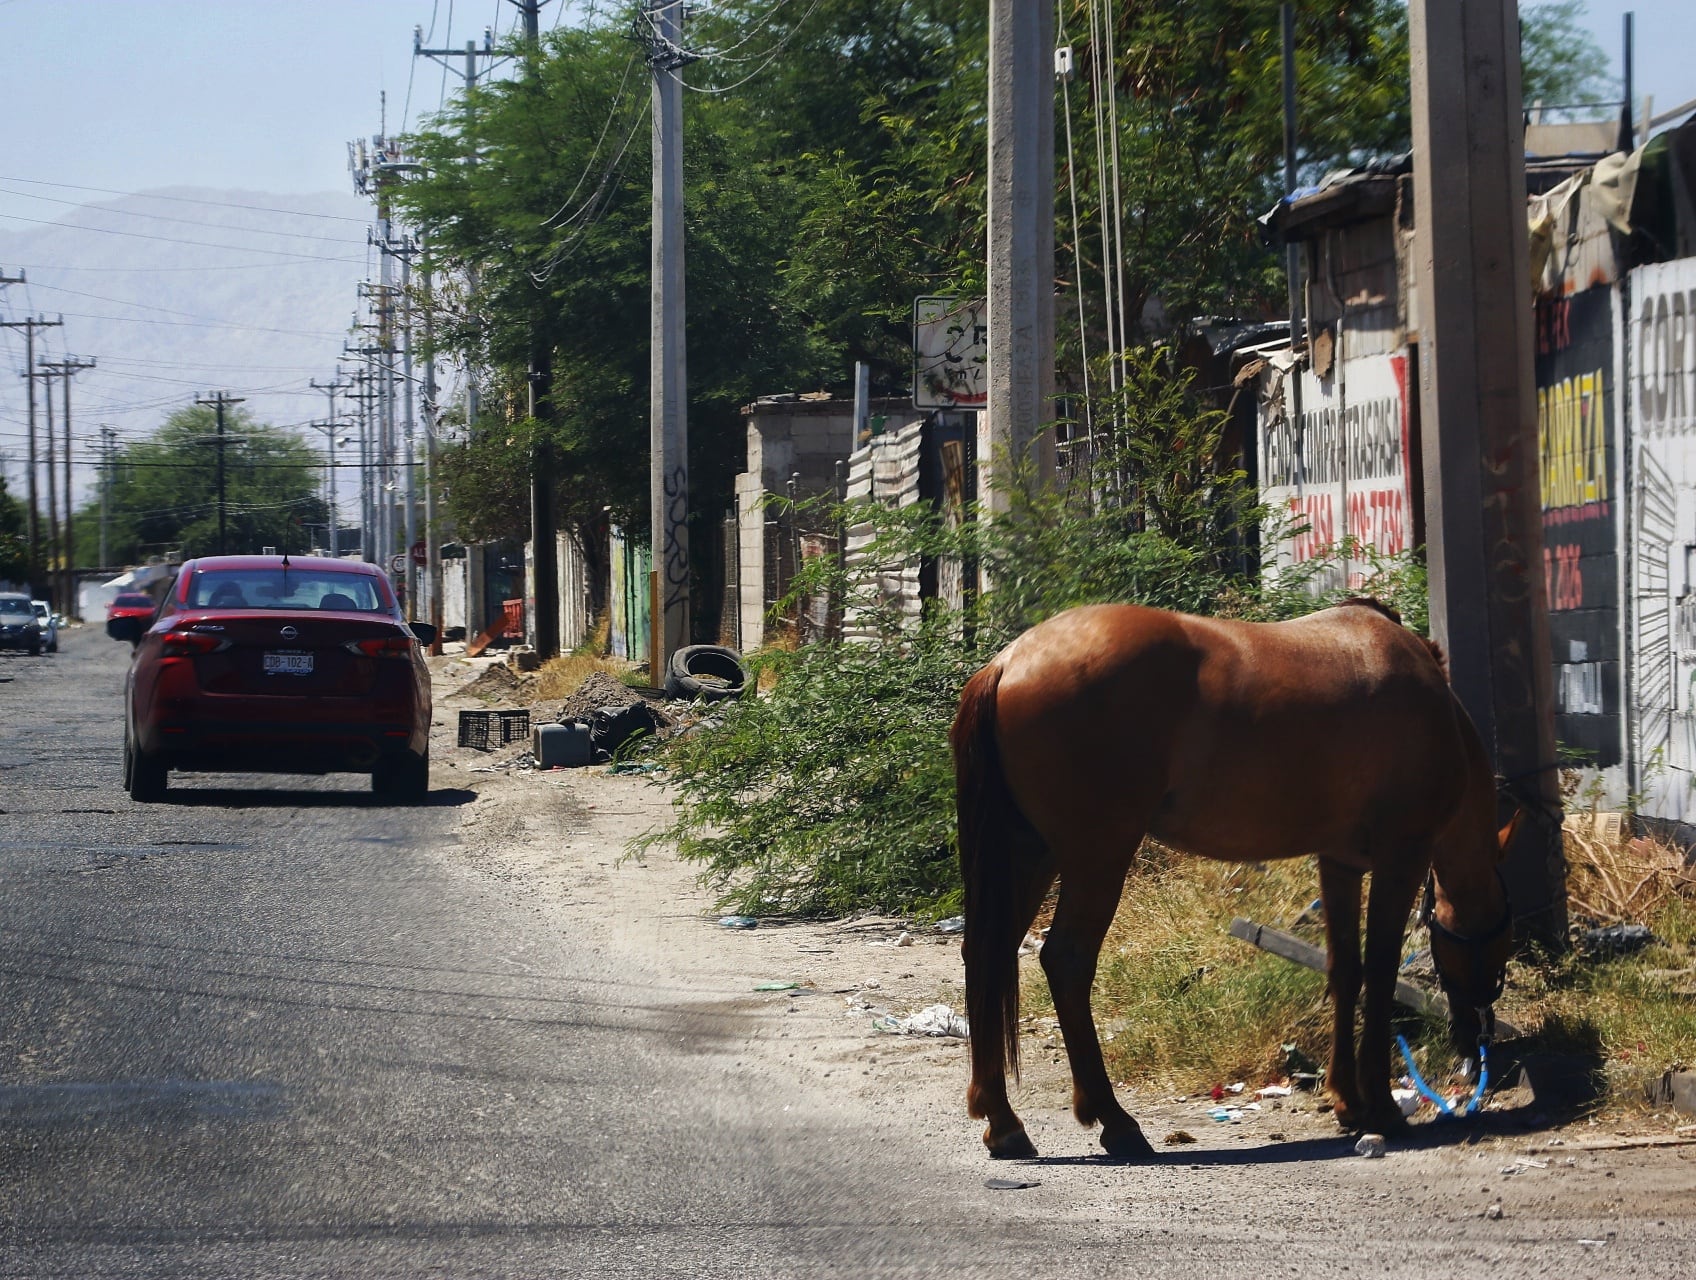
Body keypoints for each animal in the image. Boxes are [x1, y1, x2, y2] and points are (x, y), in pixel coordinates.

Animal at [950, 598, 1515, 1159]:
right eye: (1501, 938)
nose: (1478, 1041)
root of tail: (1008, 662)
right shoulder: (1402, 856)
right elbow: (1379, 974)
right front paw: (1379, 1107)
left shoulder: (1340, 863)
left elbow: (1344, 972)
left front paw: (1349, 1102)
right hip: (1098, 857)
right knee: (1066, 961)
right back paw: (1115, 1120)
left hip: (1031, 854)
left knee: (988, 955)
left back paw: (1002, 1120)